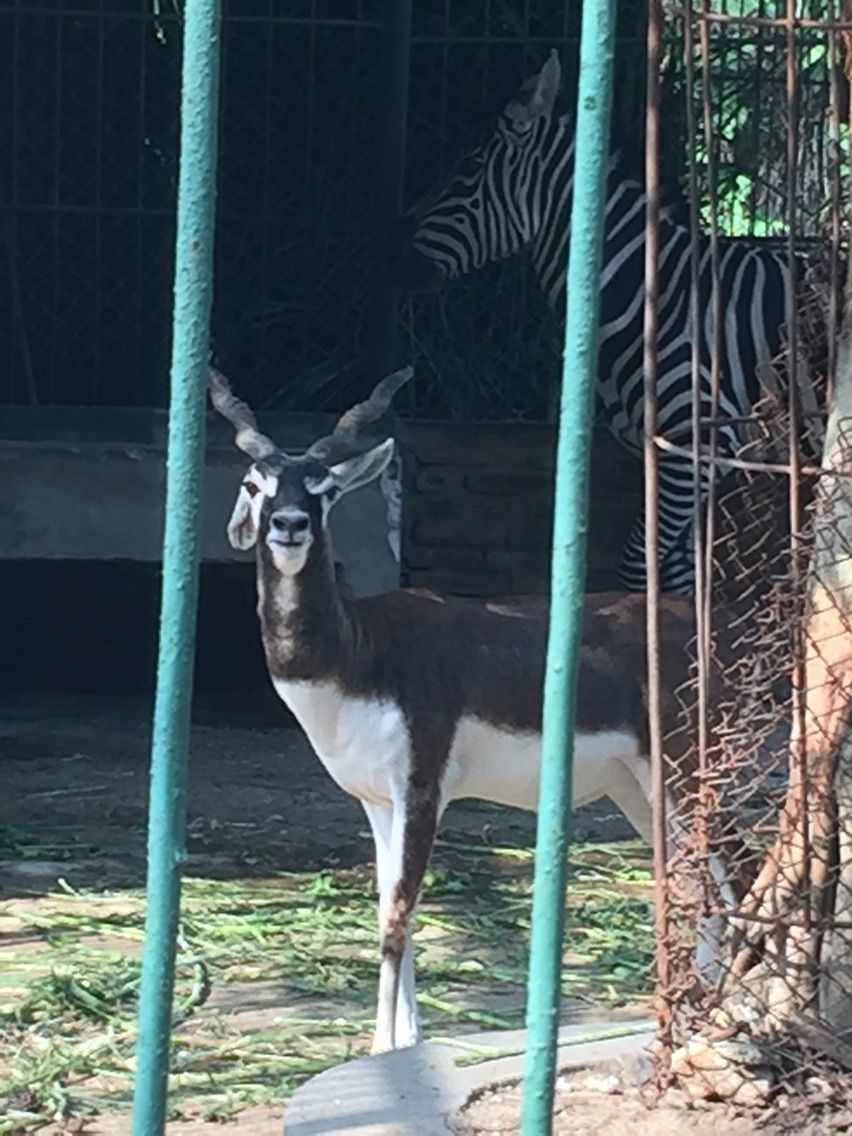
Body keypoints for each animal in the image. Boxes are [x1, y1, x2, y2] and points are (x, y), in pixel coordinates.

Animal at [210, 370, 736, 1054]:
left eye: (324, 490)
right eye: (256, 485)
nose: (291, 524)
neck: (359, 652)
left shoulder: (422, 788)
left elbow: (399, 910)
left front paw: (382, 1047)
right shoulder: (375, 800)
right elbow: (388, 904)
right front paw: (407, 1040)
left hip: (685, 772)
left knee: (729, 871)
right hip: (638, 791)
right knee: (695, 877)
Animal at [390, 48, 817, 595]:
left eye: (468, 169)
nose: (388, 256)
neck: (657, 293)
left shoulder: (695, 446)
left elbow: (638, 567)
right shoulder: (666, 455)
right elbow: (677, 583)